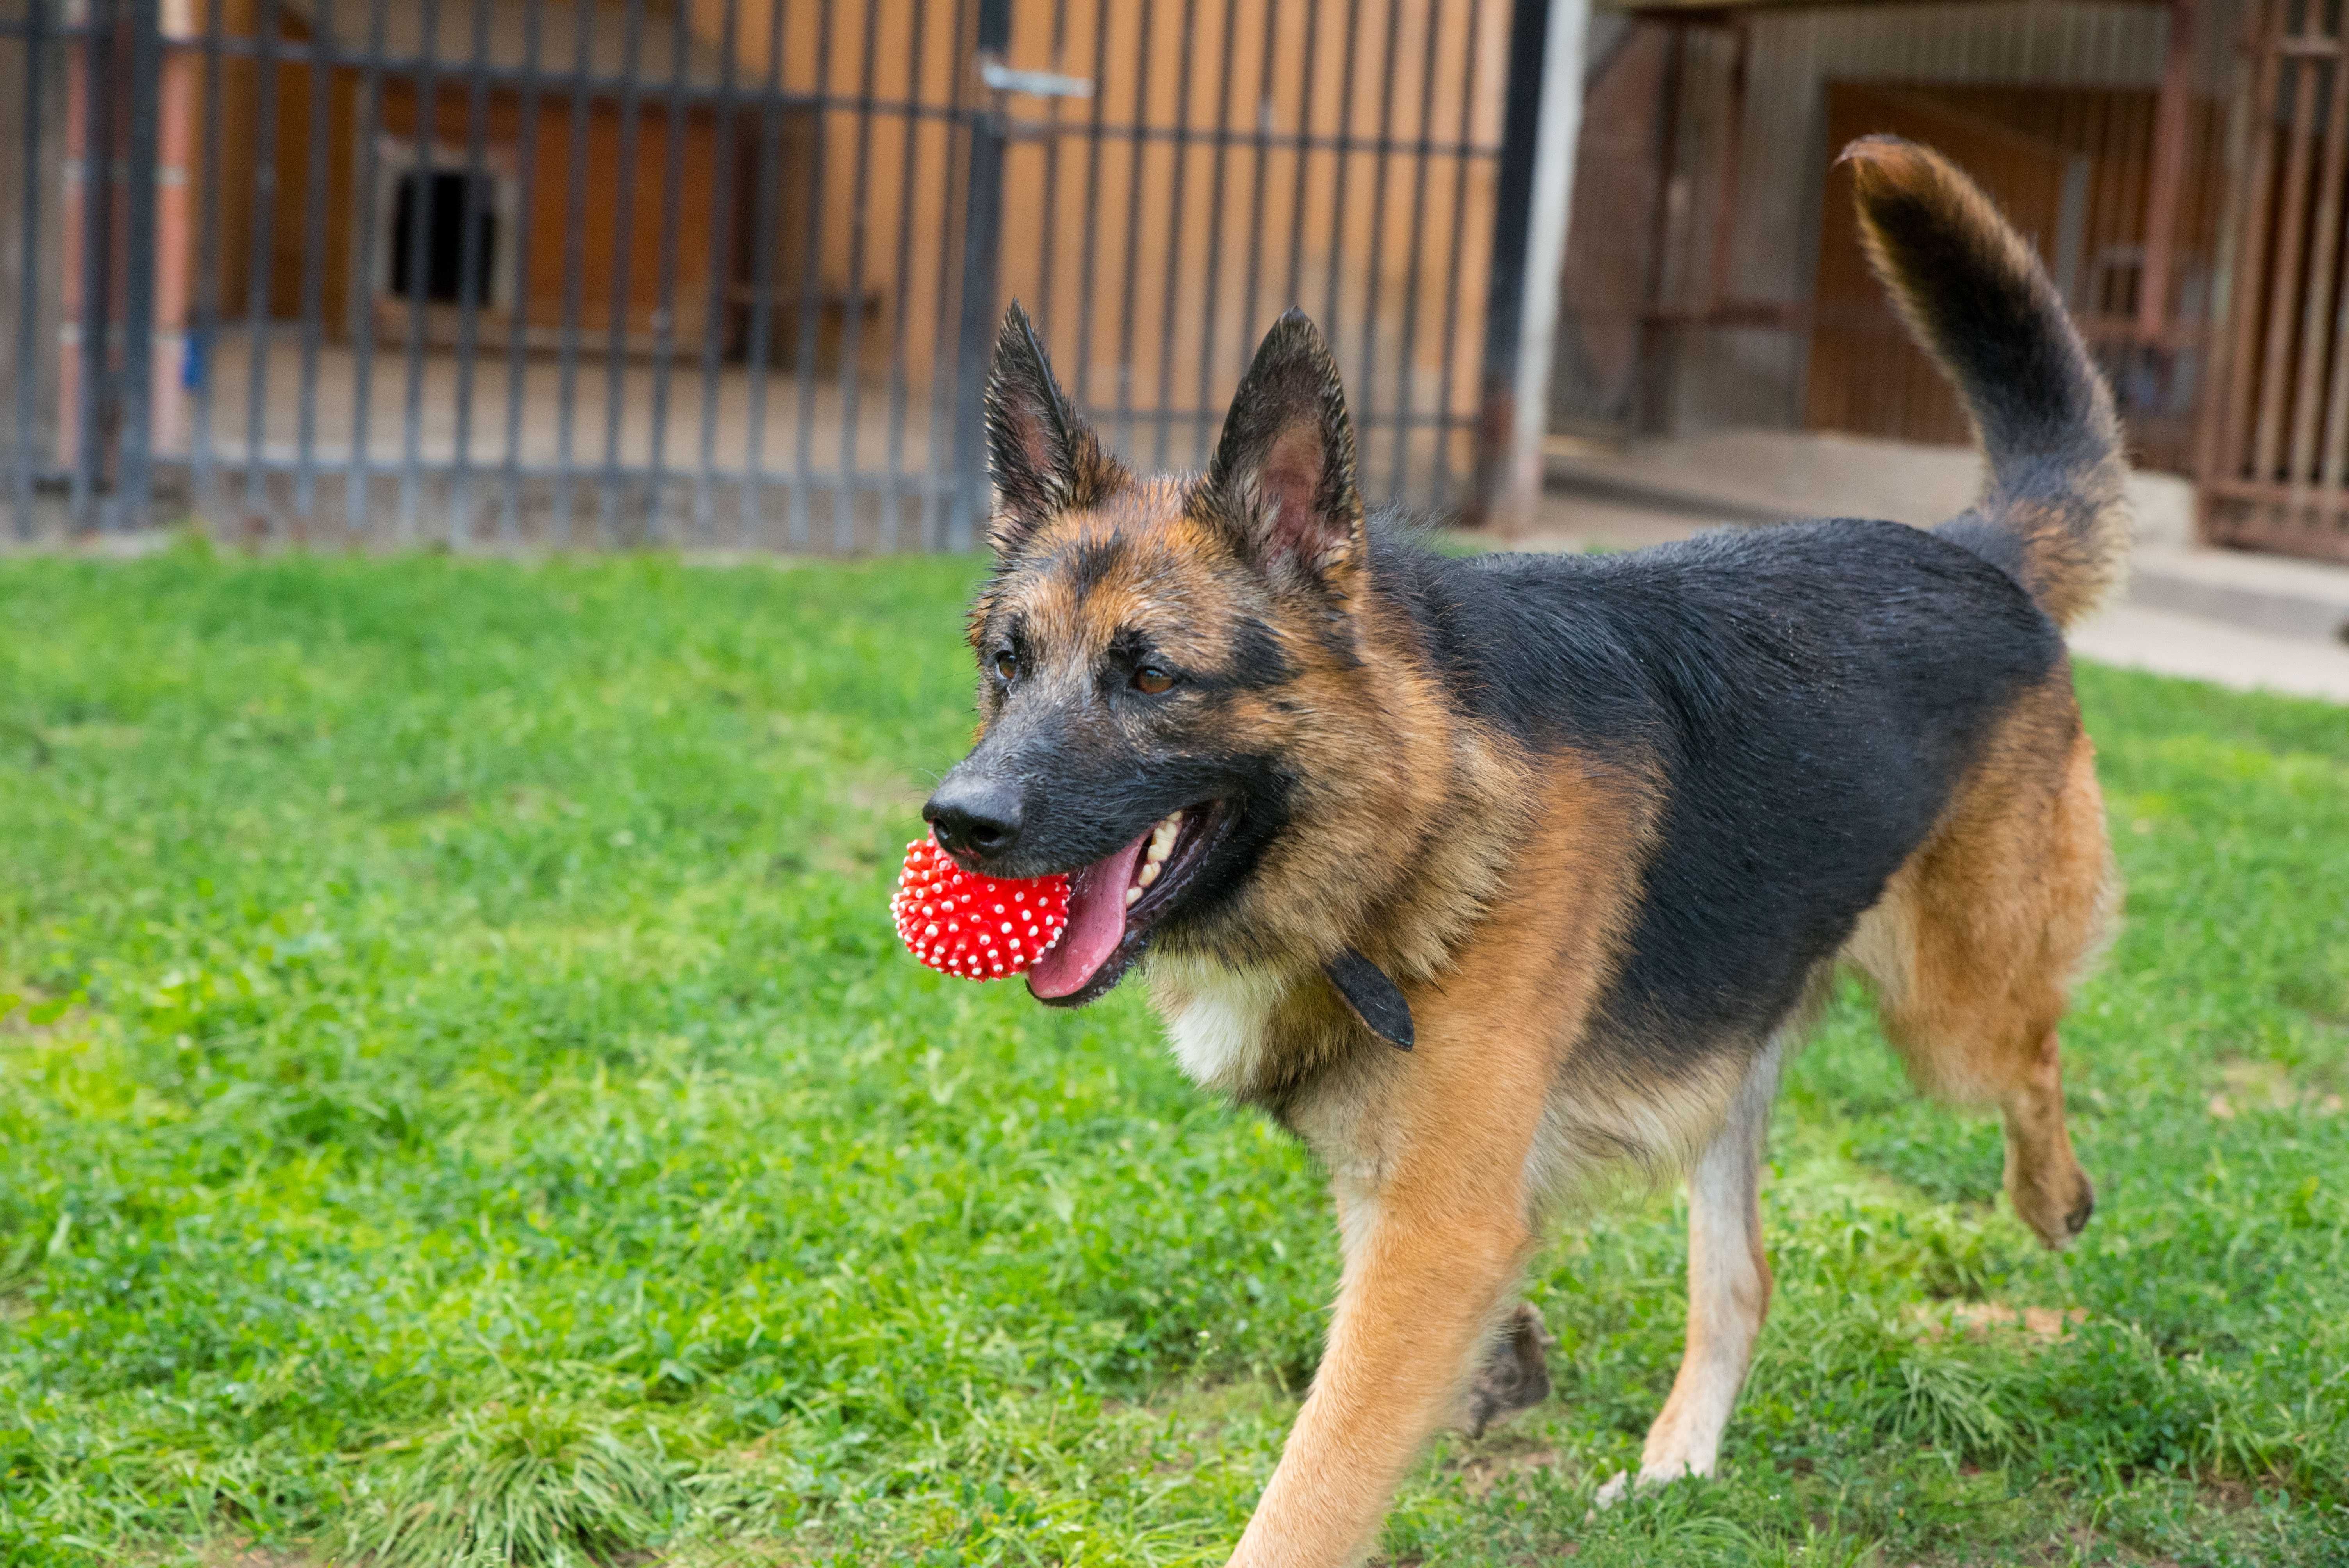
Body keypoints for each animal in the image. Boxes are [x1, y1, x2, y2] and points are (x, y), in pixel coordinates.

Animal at [925, 141, 2123, 1558]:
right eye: (1009, 664)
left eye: (1152, 675)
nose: (959, 819)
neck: (1415, 816)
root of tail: (1972, 550)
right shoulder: (1405, 1210)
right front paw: (1512, 1371)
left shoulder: (1435, 1236)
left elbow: (1309, 1495)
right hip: (1739, 1037)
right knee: (1743, 1280)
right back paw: (1676, 1468)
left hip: (1949, 1012)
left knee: (2032, 1053)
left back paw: (2052, 1198)